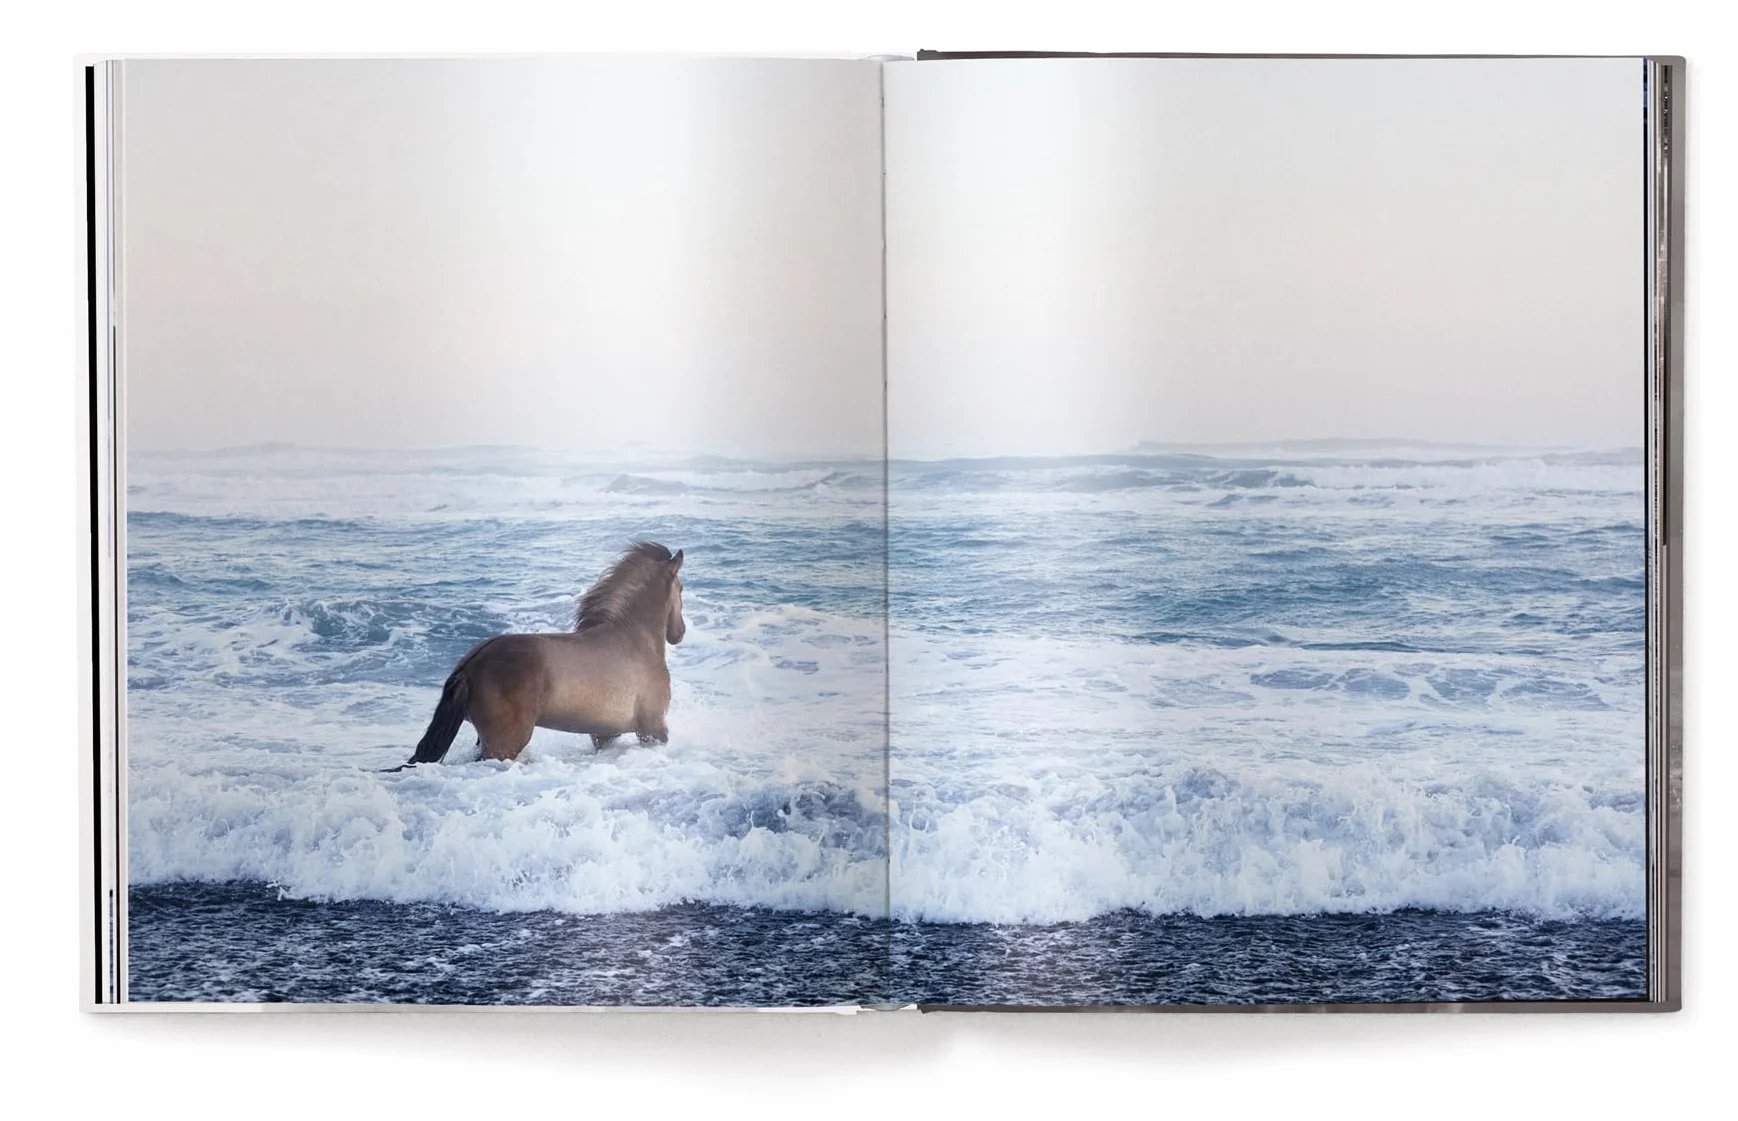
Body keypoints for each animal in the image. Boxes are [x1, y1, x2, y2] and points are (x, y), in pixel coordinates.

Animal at [395, 541, 686, 767]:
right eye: (681, 589)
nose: (679, 632)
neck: (634, 639)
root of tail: (469, 665)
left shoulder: (603, 735)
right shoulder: (652, 728)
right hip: (505, 743)